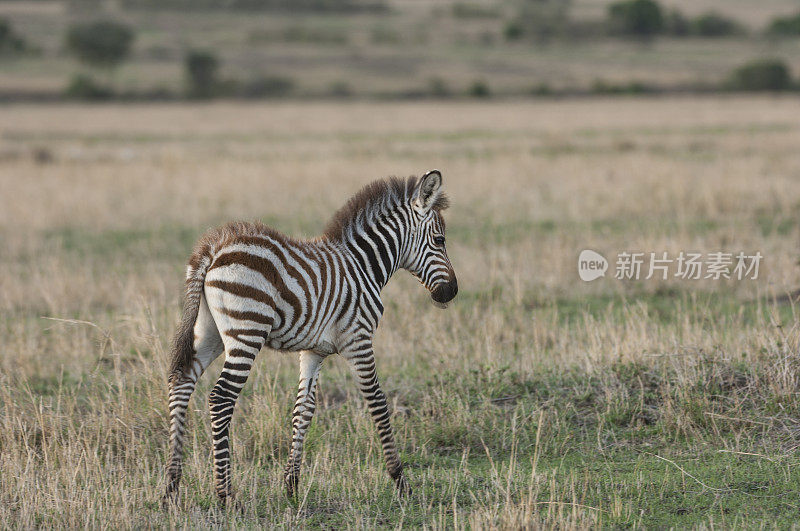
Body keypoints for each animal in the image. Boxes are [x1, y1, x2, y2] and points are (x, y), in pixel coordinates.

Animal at [162, 170, 456, 502]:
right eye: (440, 240)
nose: (452, 292)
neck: (363, 265)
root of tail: (212, 248)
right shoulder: (358, 340)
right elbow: (378, 402)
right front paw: (400, 480)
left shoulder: (314, 351)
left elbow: (303, 409)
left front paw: (291, 484)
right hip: (246, 332)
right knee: (221, 397)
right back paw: (226, 494)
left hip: (208, 332)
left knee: (181, 382)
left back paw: (171, 485)